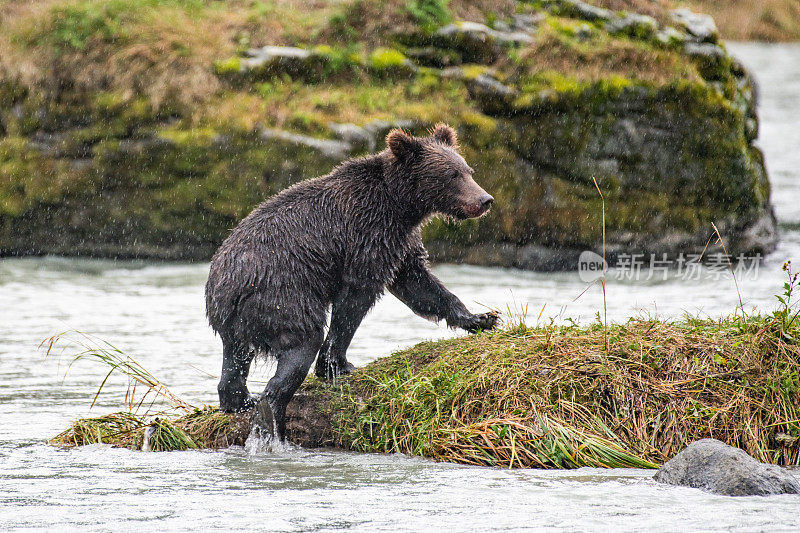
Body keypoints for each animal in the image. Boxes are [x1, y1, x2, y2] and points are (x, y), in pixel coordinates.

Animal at [203, 124, 496, 440]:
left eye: (468, 170)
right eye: (451, 175)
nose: (485, 200)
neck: (400, 205)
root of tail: (223, 284)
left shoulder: (399, 241)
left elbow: (419, 285)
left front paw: (481, 318)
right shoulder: (367, 231)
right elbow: (355, 300)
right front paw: (338, 365)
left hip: (235, 320)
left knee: (234, 358)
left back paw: (240, 401)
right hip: (281, 295)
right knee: (302, 342)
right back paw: (271, 413)